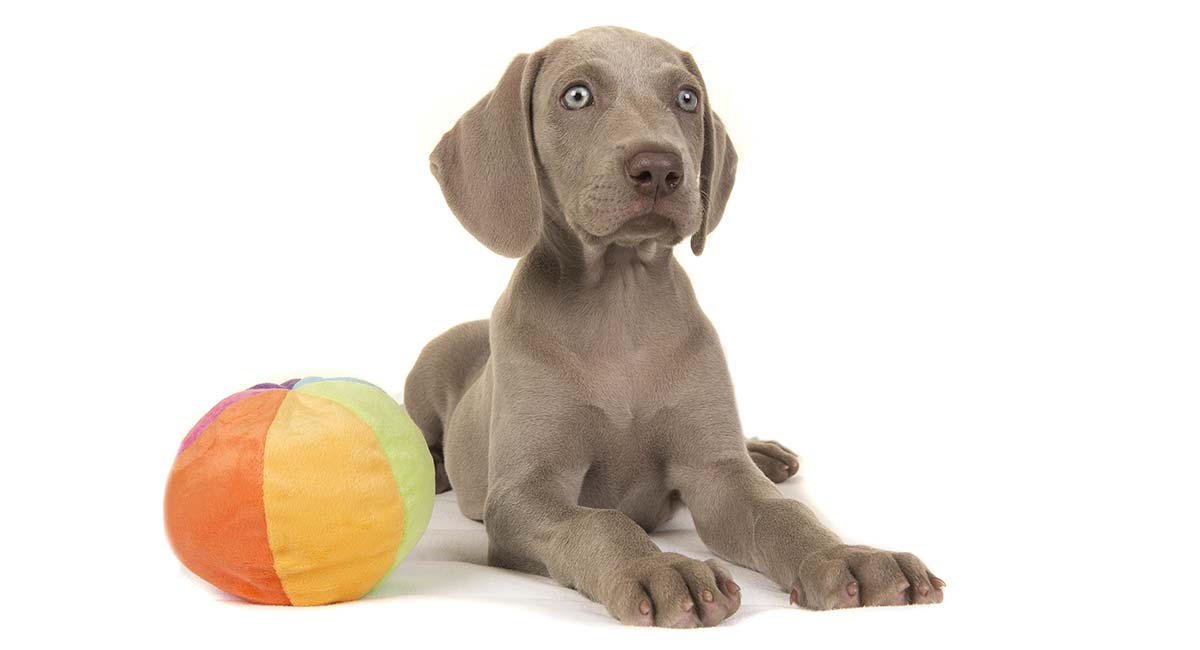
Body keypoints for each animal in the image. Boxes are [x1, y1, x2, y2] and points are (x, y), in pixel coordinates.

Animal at [405, 26, 945, 633]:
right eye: (576, 96)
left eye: (687, 98)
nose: (660, 168)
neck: (620, 306)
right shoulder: (523, 493)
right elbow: (600, 522)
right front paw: (659, 568)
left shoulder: (717, 477)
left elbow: (784, 513)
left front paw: (847, 557)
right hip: (422, 380)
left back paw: (763, 453)